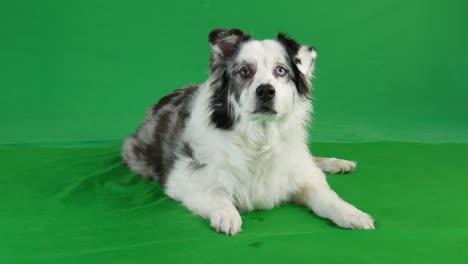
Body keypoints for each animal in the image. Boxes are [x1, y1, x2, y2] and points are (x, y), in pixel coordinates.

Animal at [122, 28, 374, 235]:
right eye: (245, 71)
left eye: (281, 70)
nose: (266, 91)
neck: (259, 137)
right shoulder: (182, 178)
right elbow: (217, 194)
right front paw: (227, 215)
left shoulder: (303, 175)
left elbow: (328, 198)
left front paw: (353, 214)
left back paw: (339, 163)